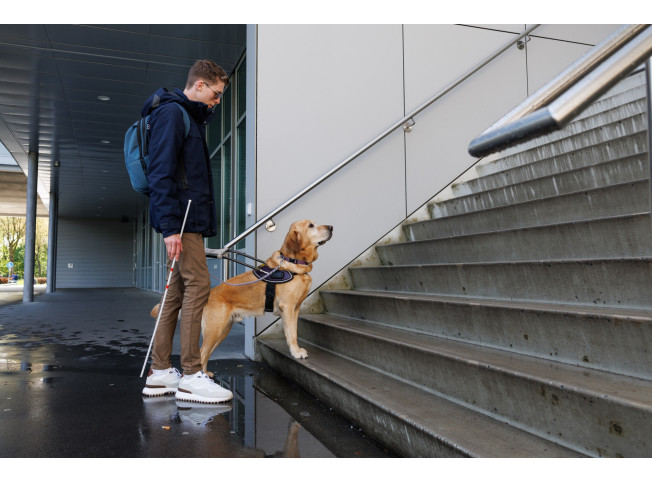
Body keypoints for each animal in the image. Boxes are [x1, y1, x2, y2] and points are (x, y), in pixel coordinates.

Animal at [152, 220, 332, 378]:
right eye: (311, 225)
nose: (331, 227)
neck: (292, 262)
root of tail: (209, 294)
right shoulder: (287, 308)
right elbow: (292, 334)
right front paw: (295, 352)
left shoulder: (295, 309)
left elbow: (294, 330)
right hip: (214, 329)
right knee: (202, 353)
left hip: (222, 330)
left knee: (205, 354)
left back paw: (206, 373)